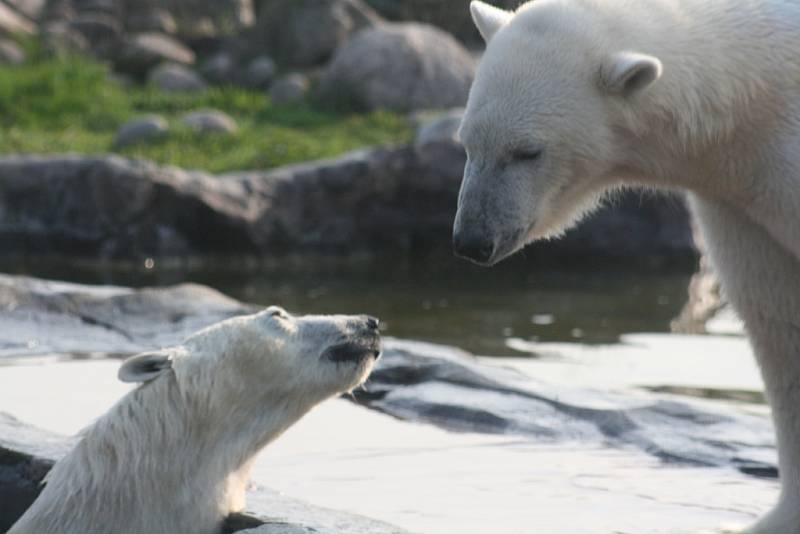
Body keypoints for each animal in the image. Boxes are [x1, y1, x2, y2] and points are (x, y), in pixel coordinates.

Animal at [454, 1, 800, 532]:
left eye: (527, 151)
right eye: (467, 142)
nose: (472, 239)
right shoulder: (741, 204)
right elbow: (776, 321)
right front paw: (776, 519)